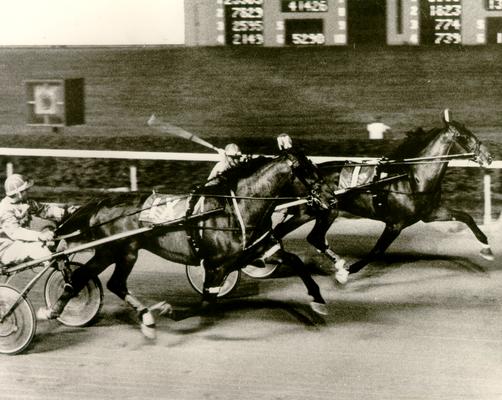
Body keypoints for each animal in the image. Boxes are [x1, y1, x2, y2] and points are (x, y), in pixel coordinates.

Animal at [38, 145, 338, 340]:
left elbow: (296, 261)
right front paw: (168, 310)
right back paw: (56, 310)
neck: (235, 208)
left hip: (120, 251)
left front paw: (318, 302)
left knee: (102, 281)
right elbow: (206, 302)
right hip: (116, 250)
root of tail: (100, 203)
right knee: (92, 279)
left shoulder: (257, 250)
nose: (332, 199)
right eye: (308, 171)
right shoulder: (216, 265)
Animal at [268, 108, 492, 280]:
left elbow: (466, 216)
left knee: (306, 237)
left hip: (317, 212)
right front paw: (346, 273)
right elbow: (376, 250)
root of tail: (298, 174)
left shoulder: (429, 213)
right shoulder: (395, 223)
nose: (488, 157)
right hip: (314, 211)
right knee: (299, 235)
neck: (413, 178)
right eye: (464, 137)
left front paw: (486, 248)